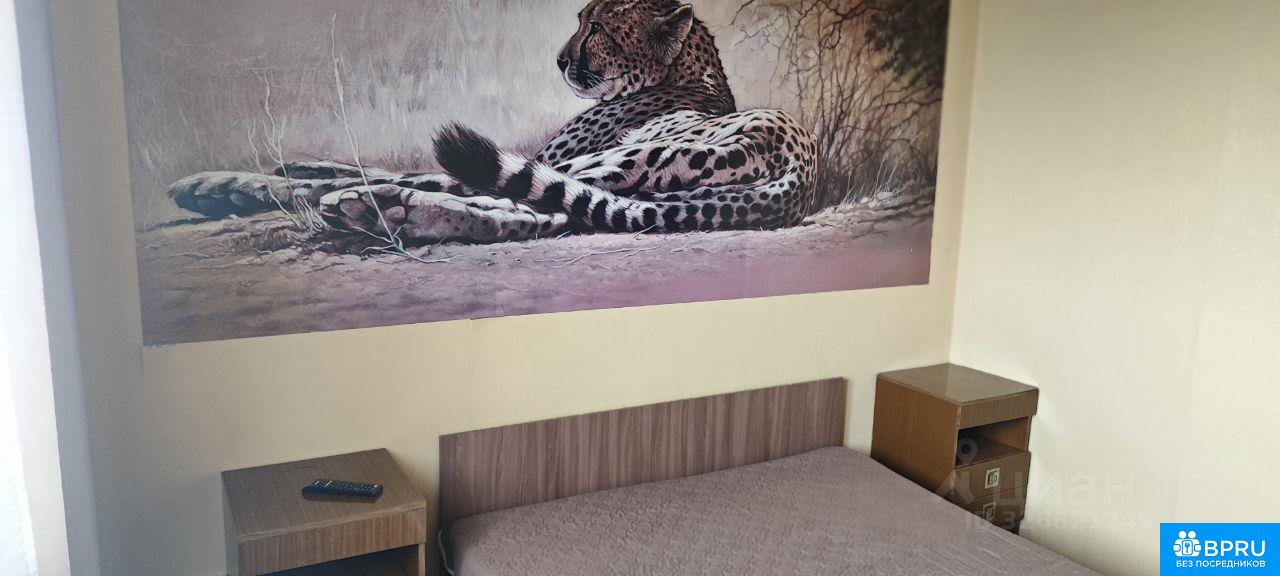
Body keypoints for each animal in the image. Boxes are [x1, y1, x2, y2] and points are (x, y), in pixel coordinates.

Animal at [166, 0, 819, 244]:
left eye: (598, 27)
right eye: (582, 17)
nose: (560, 60)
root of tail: (797, 167)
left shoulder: (556, 155)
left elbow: (356, 169)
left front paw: (224, 184)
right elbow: (344, 161)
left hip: (611, 162)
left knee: (467, 186)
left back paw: (371, 207)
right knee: (539, 212)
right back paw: (392, 214)